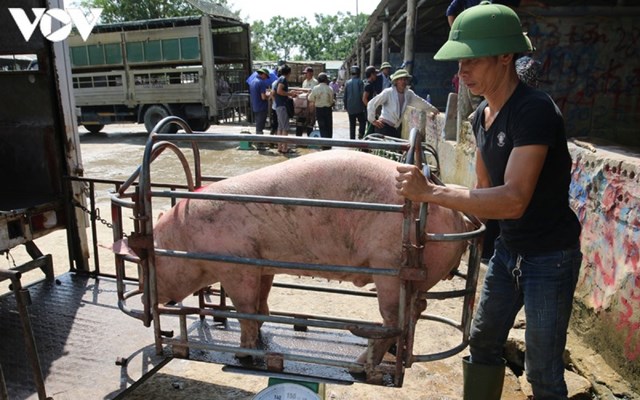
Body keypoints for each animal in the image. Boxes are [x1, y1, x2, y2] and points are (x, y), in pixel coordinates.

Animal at [151, 149, 470, 366]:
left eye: (155, 259)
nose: (150, 294)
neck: (185, 238)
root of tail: (456, 216)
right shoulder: (263, 262)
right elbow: (261, 304)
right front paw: (262, 334)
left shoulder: (236, 264)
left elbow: (244, 309)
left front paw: (242, 356)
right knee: (417, 308)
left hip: (390, 267)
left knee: (395, 318)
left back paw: (358, 366)